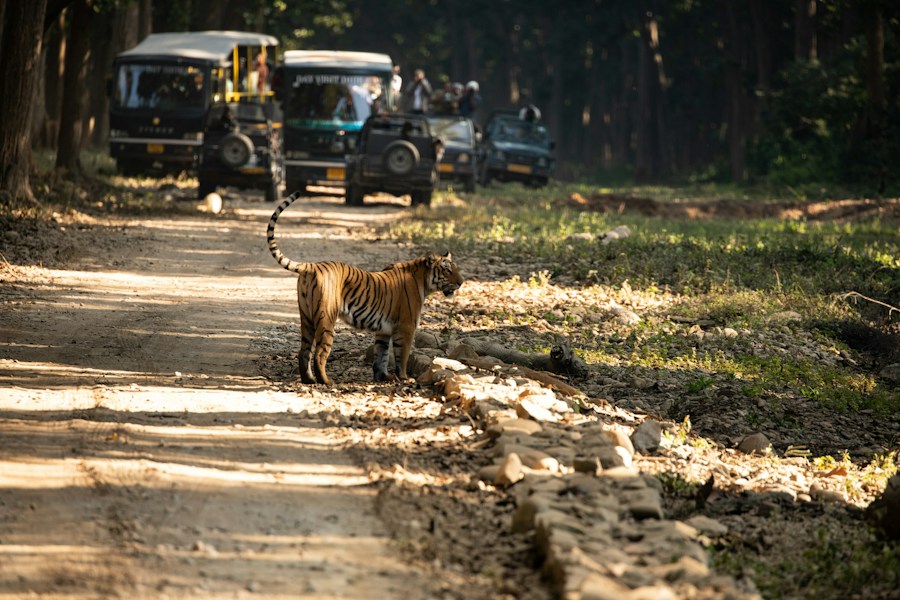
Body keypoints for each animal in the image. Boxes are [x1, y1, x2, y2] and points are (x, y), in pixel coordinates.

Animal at [267, 192, 464, 385]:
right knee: (320, 353)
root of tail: (312, 266)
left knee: (304, 351)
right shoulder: (406, 327)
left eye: (455, 268)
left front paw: (383, 377)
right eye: (447, 270)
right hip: (326, 318)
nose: (461, 282)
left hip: (306, 317)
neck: (423, 281)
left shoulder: (384, 331)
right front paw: (404, 378)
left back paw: (309, 380)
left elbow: (381, 355)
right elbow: (402, 356)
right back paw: (326, 381)